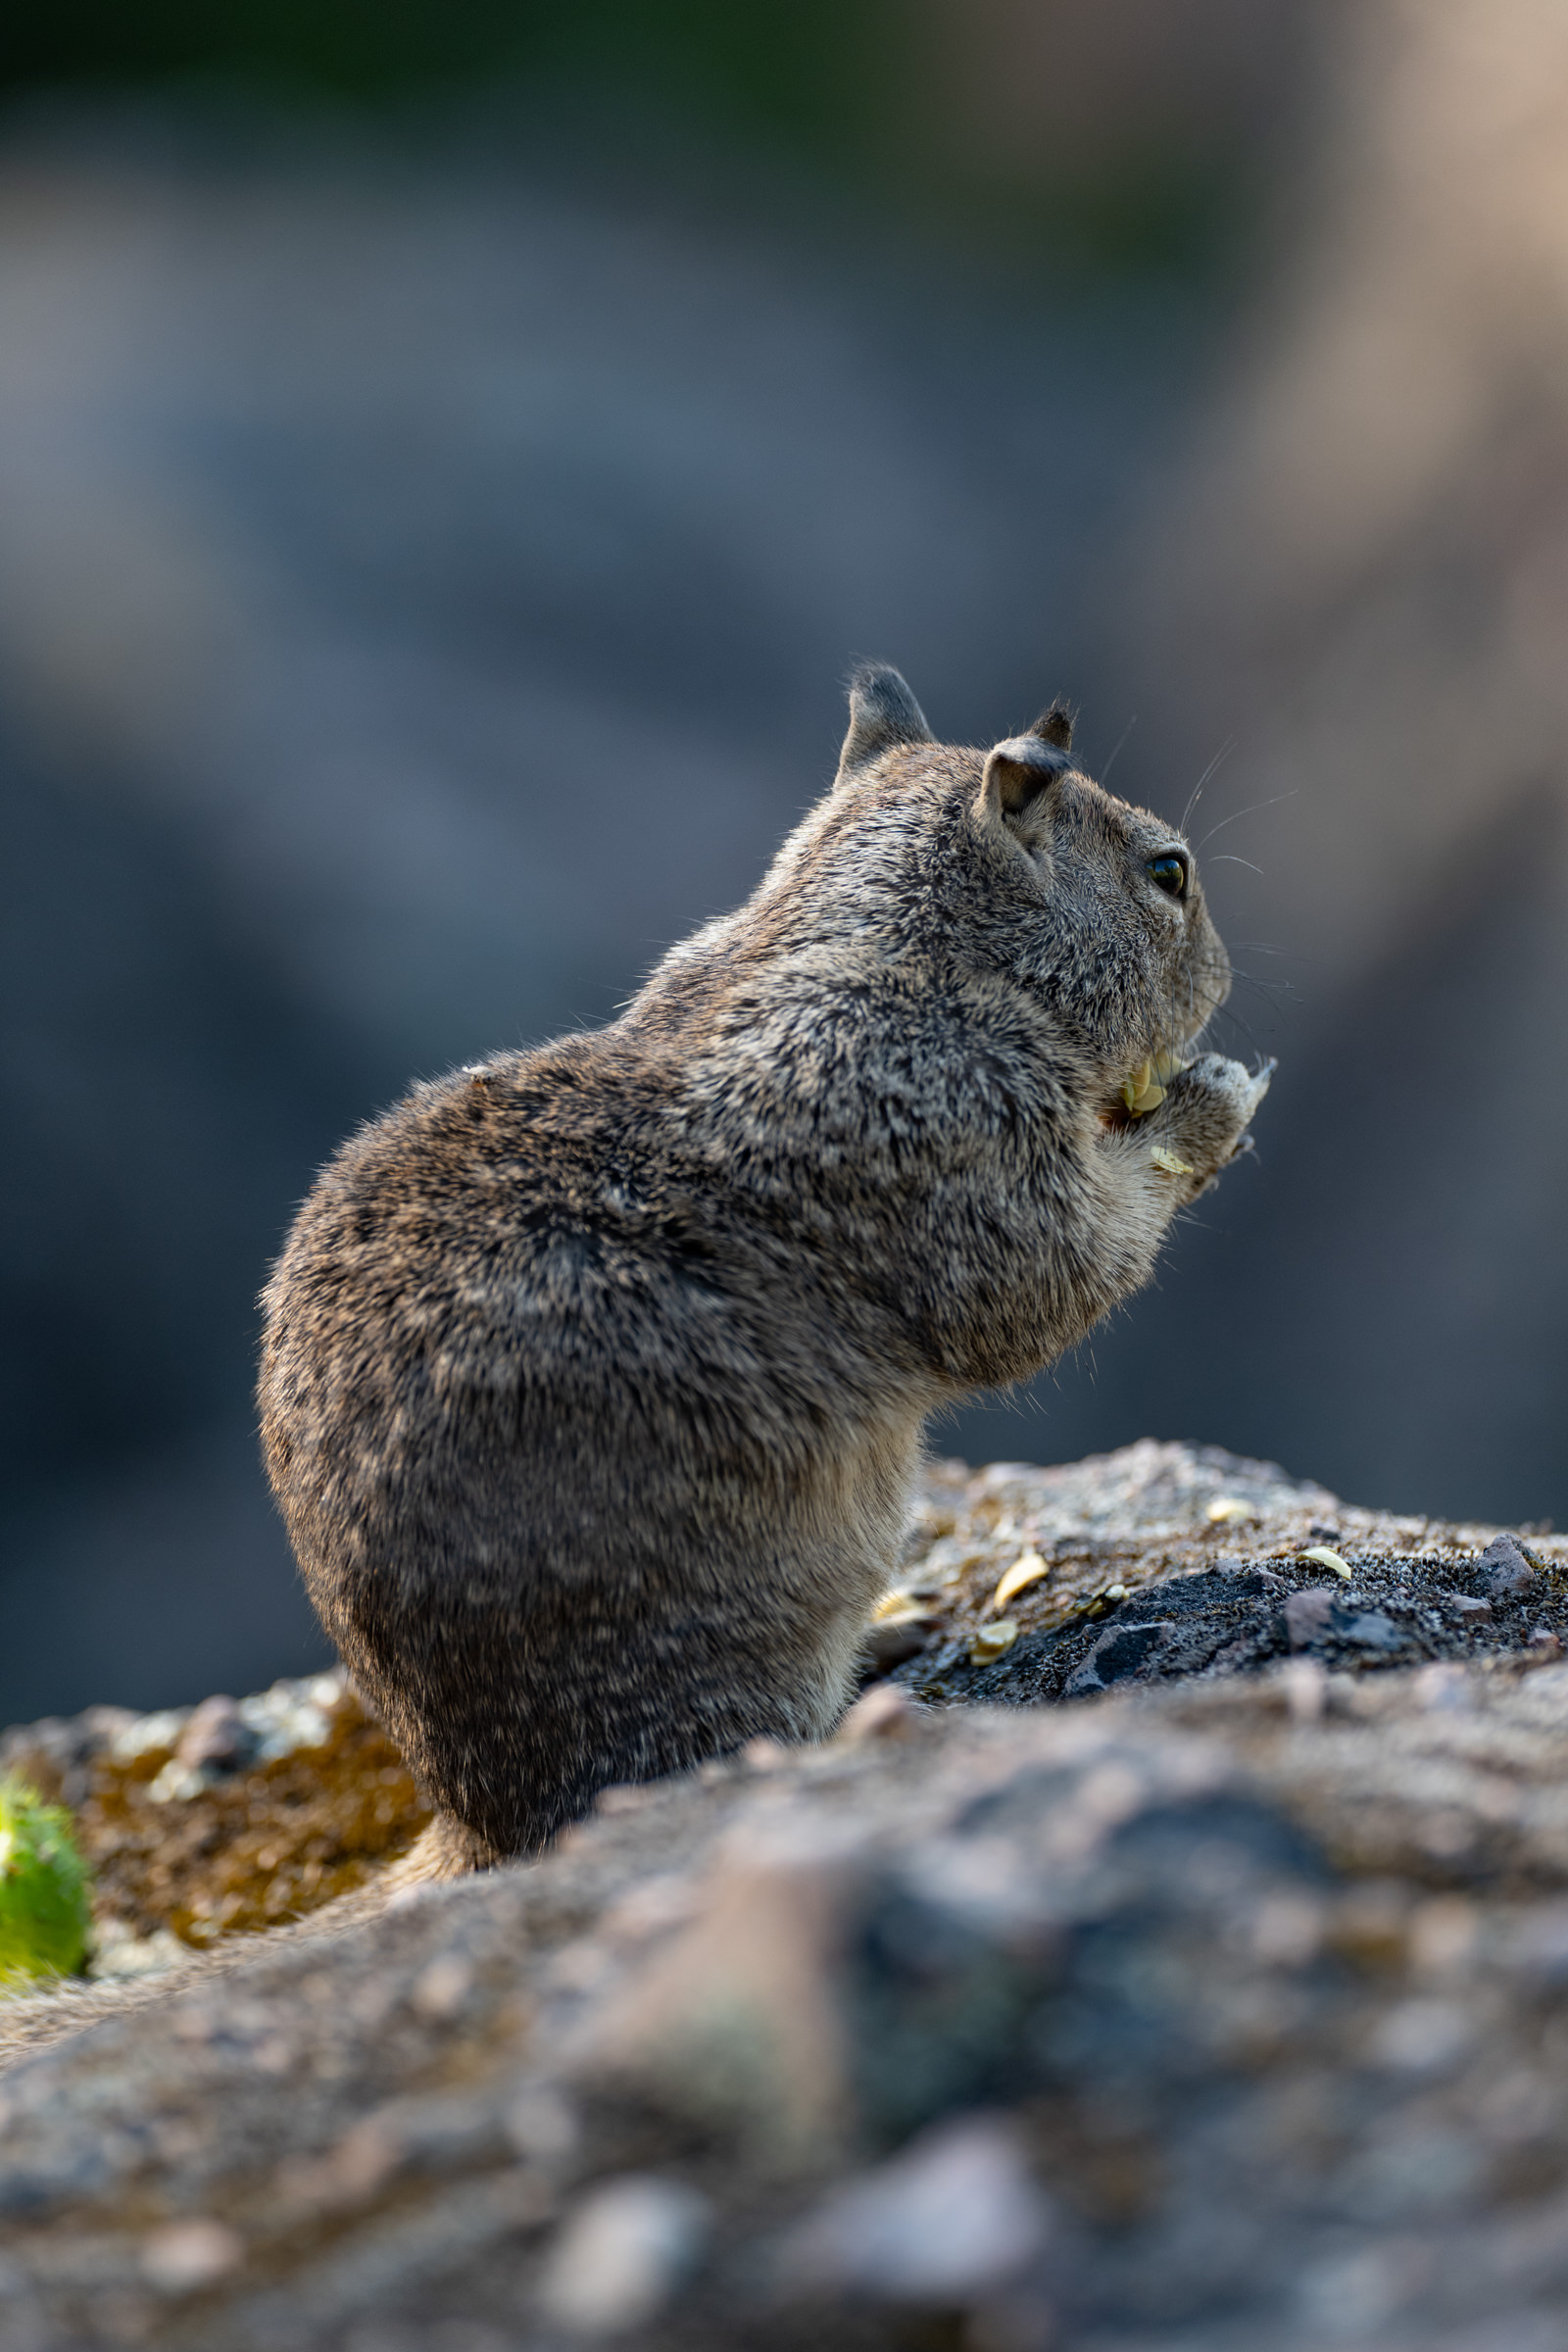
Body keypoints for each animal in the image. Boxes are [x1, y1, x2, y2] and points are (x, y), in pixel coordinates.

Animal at [255, 667, 1259, 1872]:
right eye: (1169, 873)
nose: (1227, 970)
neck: (889, 945)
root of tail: (475, 1823)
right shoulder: (952, 1135)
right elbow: (1059, 1272)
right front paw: (1216, 1098)